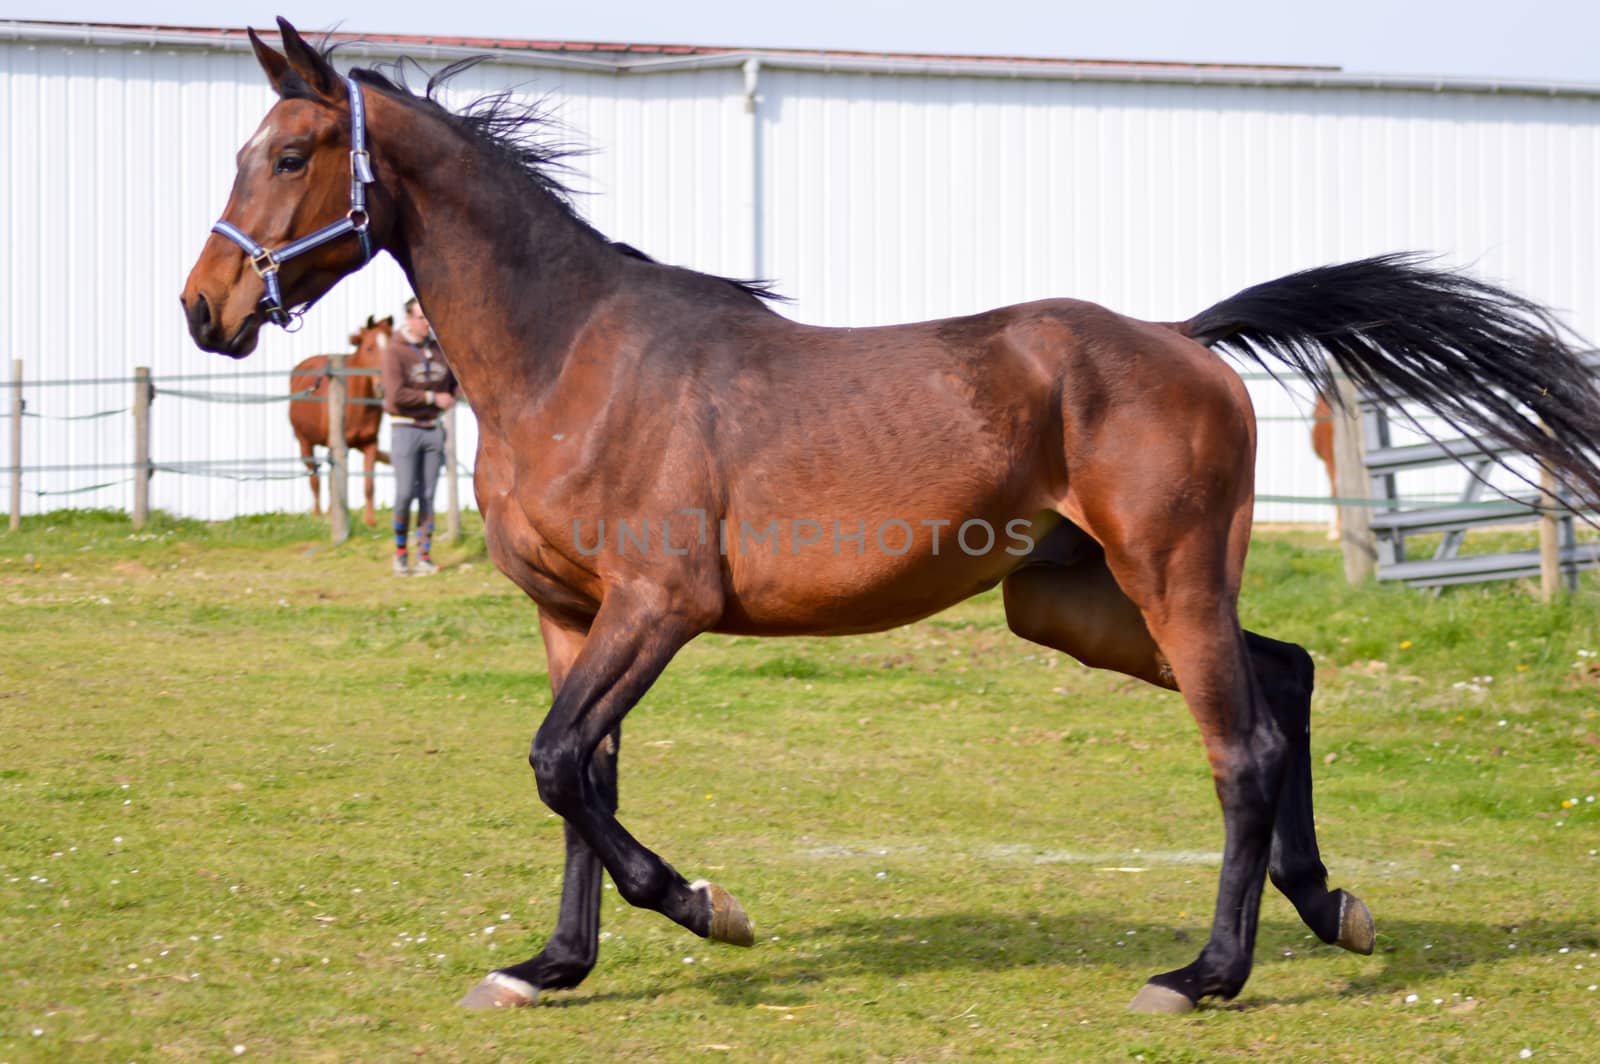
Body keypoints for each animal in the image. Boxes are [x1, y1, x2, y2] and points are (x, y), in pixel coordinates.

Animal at [288, 315, 390, 531]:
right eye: (369, 348)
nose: (382, 387)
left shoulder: (370, 444)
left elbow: (369, 485)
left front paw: (370, 521)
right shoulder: (336, 445)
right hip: (305, 442)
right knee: (315, 478)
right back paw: (318, 516)